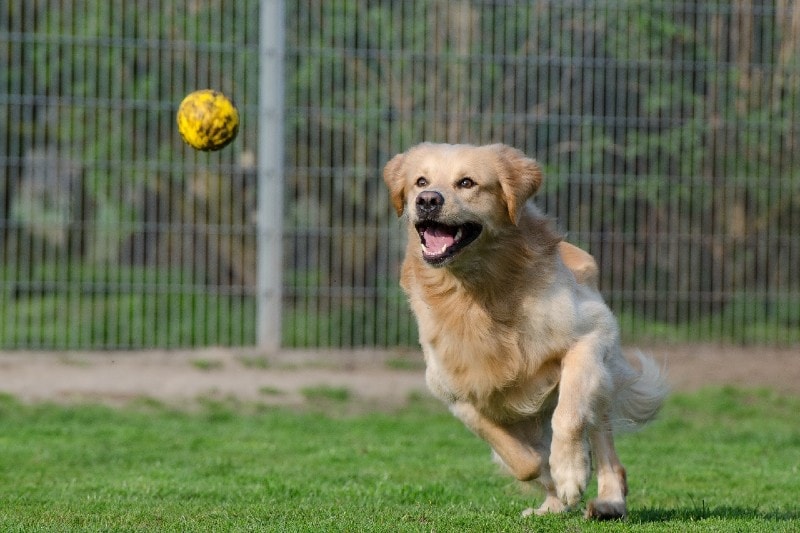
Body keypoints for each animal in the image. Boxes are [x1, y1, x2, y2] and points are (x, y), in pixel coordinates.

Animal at [384, 142, 664, 520]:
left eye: (467, 182)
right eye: (420, 181)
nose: (427, 200)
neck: (477, 292)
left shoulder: (591, 335)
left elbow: (569, 414)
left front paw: (570, 471)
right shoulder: (455, 393)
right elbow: (522, 460)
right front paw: (553, 479)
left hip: (601, 378)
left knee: (603, 441)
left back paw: (608, 500)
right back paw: (552, 505)